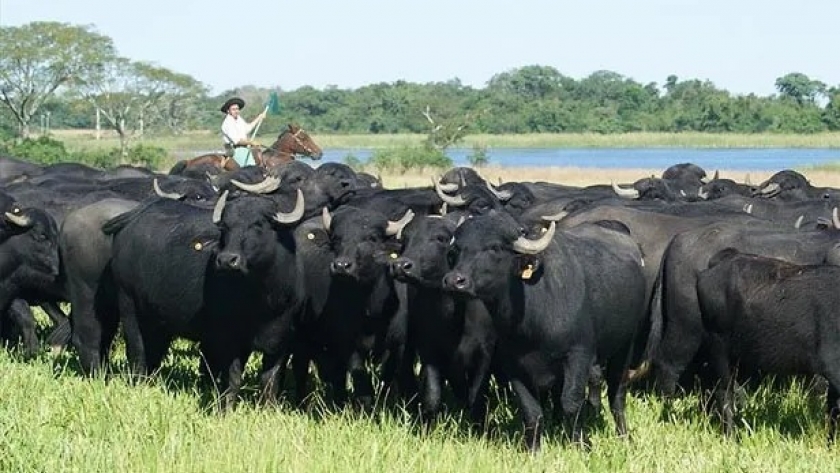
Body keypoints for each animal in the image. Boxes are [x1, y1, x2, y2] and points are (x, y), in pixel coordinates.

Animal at [442, 211, 648, 450]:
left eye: (494, 247)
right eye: (455, 251)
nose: (454, 281)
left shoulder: (578, 355)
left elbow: (571, 401)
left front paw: (581, 443)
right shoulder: (513, 364)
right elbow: (531, 410)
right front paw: (532, 448)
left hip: (625, 346)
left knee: (617, 393)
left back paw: (624, 436)